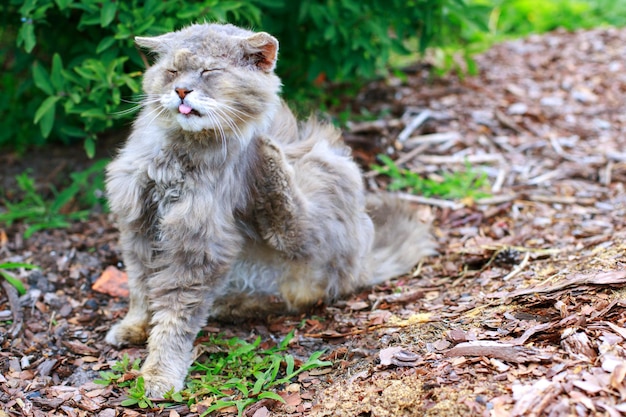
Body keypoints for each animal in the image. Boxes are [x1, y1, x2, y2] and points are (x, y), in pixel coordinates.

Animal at [103, 22, 434, 396]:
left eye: (209, 71)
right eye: (171, 71)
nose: (181, 91)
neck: (177, 158)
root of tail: (363, 263)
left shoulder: (198, 245)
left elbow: (174, 319)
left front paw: (159, 375)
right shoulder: (139, 229)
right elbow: (141, 291)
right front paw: (134, 327)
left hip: (323, 170)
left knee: (298, 245)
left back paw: (268, 156)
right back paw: (231, 304)